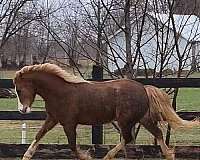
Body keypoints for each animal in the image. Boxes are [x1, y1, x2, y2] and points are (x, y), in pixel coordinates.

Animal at [13, 63, 199, 160]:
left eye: (19, 90)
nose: (23, 110)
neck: (60, 92)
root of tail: (144, 88)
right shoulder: (52, 119)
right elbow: (39, 135)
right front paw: (26, 156)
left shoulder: (69, 123)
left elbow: (72, 146)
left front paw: (87, 156)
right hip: (142, 119)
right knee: (156, 134)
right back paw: (169, 155)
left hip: (125, 120)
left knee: (128, 138)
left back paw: (107, 156)